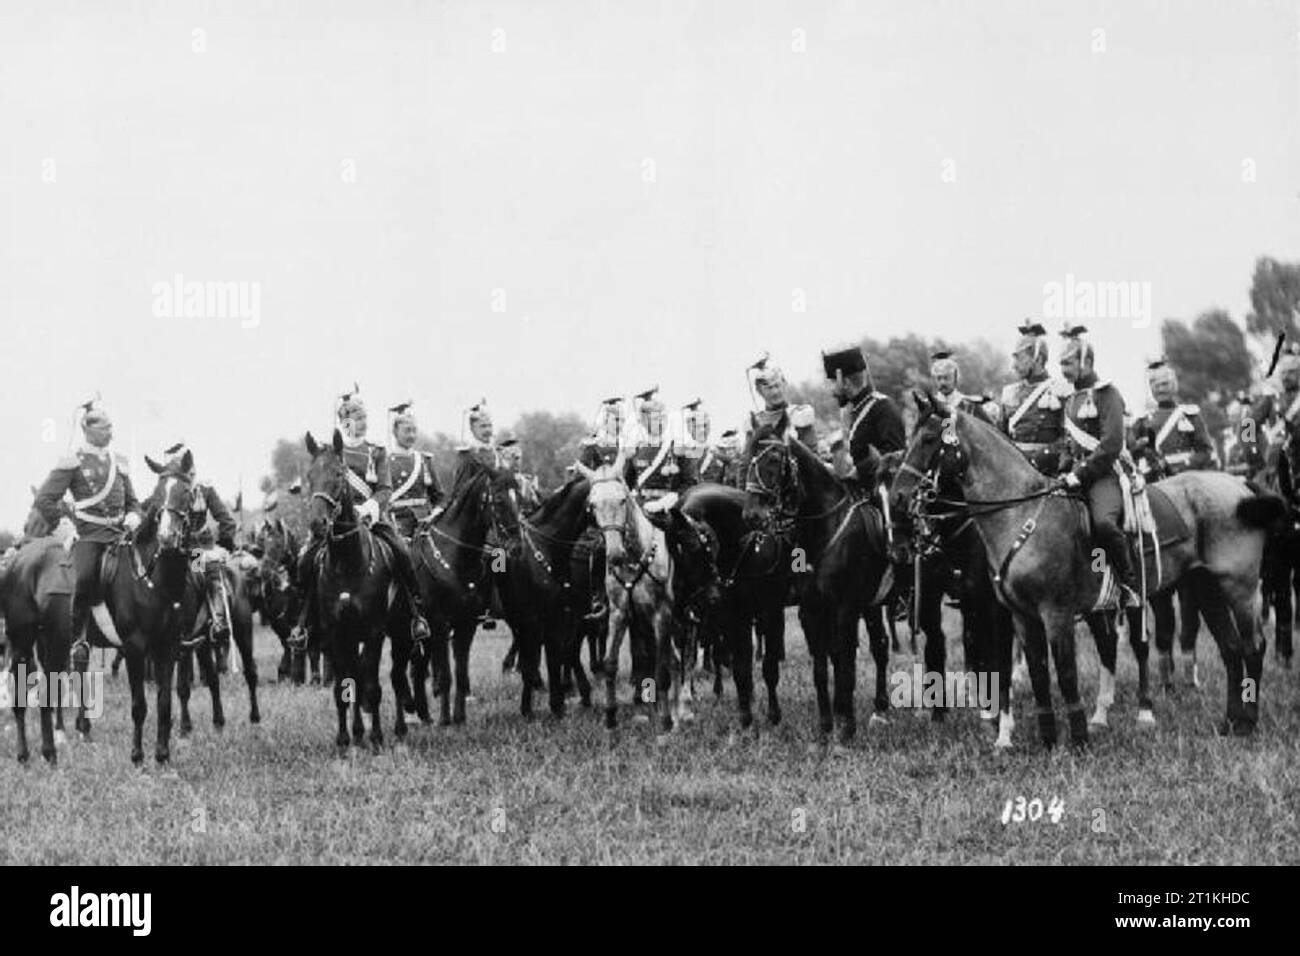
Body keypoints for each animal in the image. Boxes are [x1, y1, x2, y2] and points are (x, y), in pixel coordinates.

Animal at [304, 429, 400, 749]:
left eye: (338, 473)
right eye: (309, 476)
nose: (317, 523)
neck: (347, 564)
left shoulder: (373, 633)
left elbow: (371, 686)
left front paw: (377, 737)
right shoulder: (336, 634)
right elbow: (344, 686)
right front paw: (346, 737)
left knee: (398, 676)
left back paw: (400, 727)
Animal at [894, 392, 1279, 749]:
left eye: (929, 438)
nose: (898, 497)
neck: (1023, 515)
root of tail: (1240, 487)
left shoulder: (1055, 613)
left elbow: (1064, 674)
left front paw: (1076, 739)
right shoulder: (1021, 616)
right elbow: (1037, 672)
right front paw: (1046, 739)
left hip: (1239, 588)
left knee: (1251, 647)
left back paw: (1244, 722)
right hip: (1205, 589)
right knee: (1230, 649)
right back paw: (1229, 721)